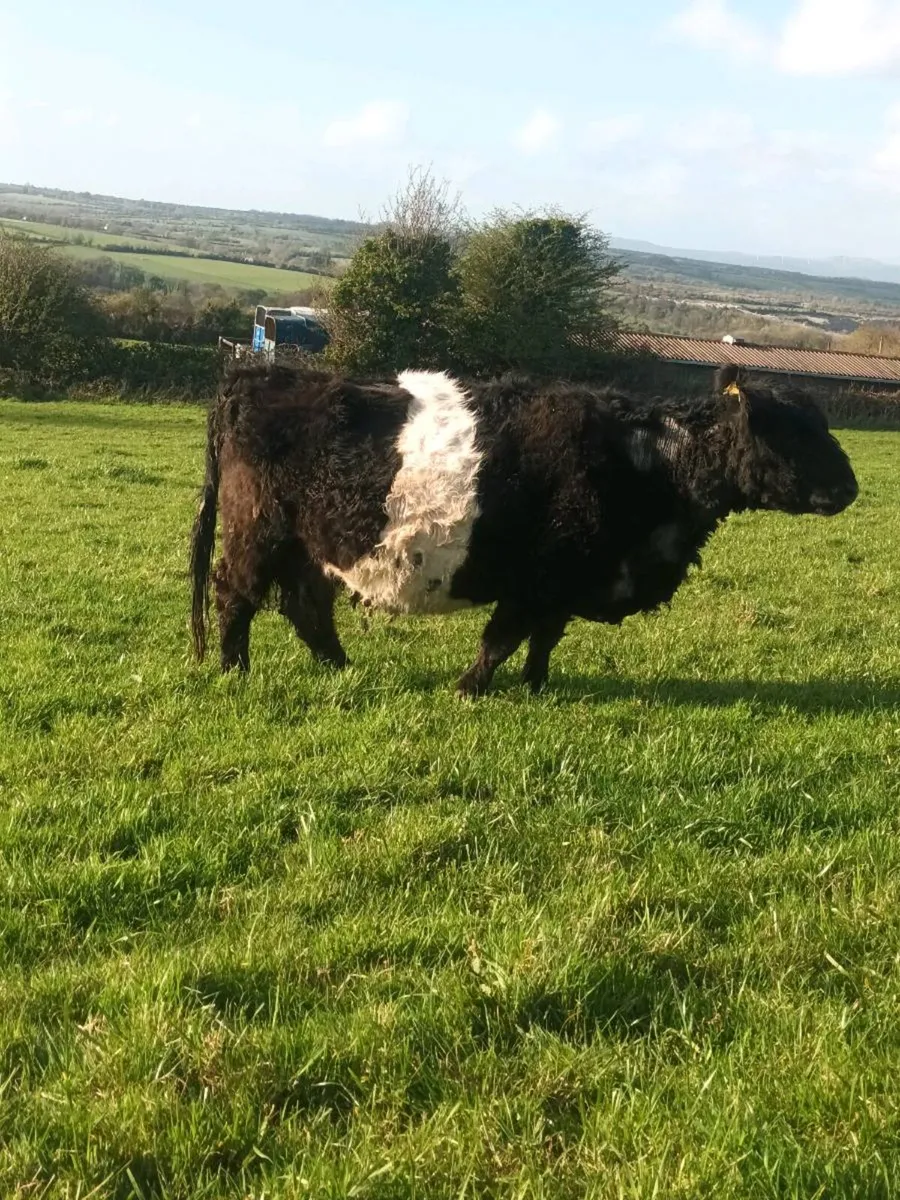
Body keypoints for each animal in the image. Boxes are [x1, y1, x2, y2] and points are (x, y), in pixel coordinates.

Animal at [189, 362, 858, 697]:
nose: (850, 488)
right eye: (791, 430)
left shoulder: (564, 581)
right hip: (260, 533)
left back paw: (341, 669)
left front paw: (537, 687)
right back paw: (234, 671)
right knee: (235, 595)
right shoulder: (539, 575)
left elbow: (544, 639)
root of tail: (258, 373)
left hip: (310, 546)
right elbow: (502, 639)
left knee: (305, 606)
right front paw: (469, 688)